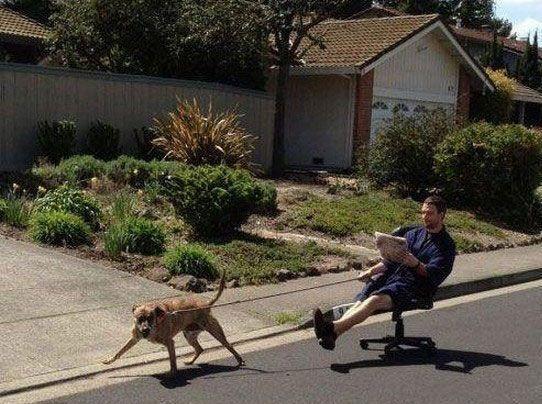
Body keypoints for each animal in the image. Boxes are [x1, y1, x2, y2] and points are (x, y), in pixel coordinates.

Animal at [101, 270, 244, 374]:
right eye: (140, 319)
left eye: (150, 318)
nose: (145, 330)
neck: (156, 324)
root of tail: (206, 304)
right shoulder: (134, 338)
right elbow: (120, 352)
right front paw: (109, 360)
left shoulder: (170, 343)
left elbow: (172, 360)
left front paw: (173, 373)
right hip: (189, 335)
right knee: (199, 349)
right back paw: (190, 361)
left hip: (215, 331)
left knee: (228, 345)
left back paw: (239, 360)